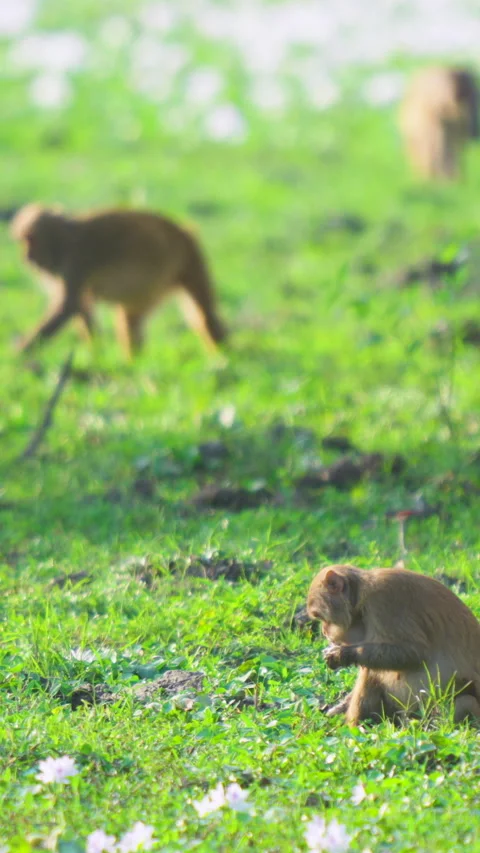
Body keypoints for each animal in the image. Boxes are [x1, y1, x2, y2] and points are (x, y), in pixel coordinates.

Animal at [10, 203, 227, 358]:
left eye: (31, 241)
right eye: (23, 241)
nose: (26, 257)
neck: (64, 240)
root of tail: (182, 231)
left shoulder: (76, 258)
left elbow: (68, 305)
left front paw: (20, 354)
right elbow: (81, 306)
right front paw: (97, 352)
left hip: (189, 260)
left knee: (205, 316)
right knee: (129, 319)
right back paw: (135, 365)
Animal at [307, 564, 480, 726]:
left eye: (321, 617)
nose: (324, 631)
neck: (361, 597)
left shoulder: (383, 602)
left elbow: (414, 653)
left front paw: (342, 654)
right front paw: (340, 706)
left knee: (464, 702)